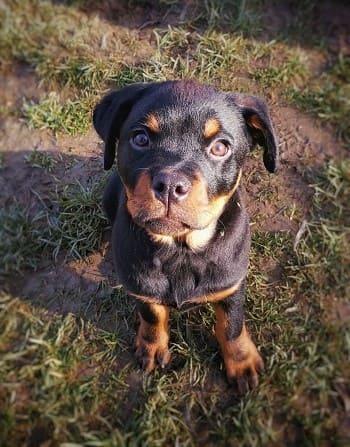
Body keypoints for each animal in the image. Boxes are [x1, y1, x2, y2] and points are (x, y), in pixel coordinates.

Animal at [93, 80, 278, 396]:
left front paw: (241, 361)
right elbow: (152, 315)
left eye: (220, 147)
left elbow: (231, 324)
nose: (170, 185)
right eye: (140, 138)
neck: (181, 248)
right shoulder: (142, 285)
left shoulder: (231, 283)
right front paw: (151, 346)